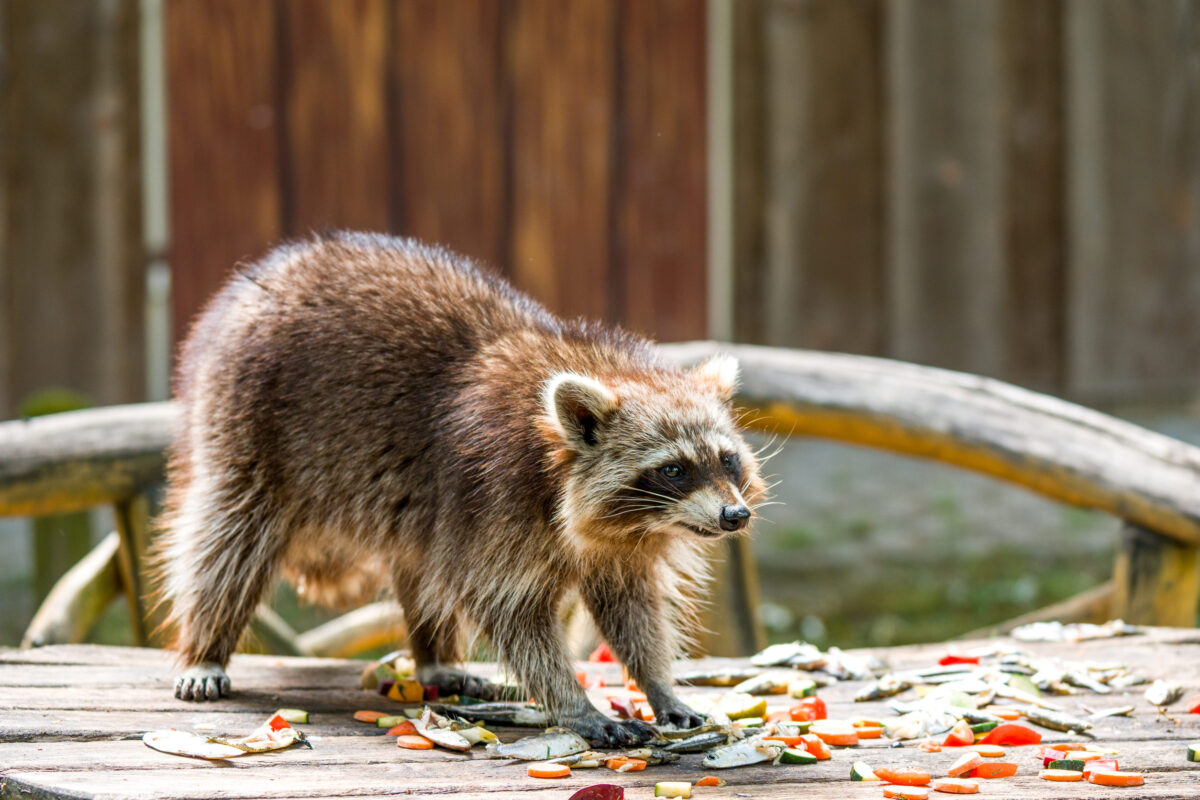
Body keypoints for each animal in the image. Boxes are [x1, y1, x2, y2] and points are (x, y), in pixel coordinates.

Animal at [156, 232, 765, 745]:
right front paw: (571, 701)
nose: (734, 516)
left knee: (420, 561)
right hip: (244, 422)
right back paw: (208, 646)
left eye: (727, 459)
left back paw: (433, 655)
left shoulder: (617, 543)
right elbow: (510, 611)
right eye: (674, 470)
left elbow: (631, 607)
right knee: (230, 539)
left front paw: (658, 682)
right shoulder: (494, 492)